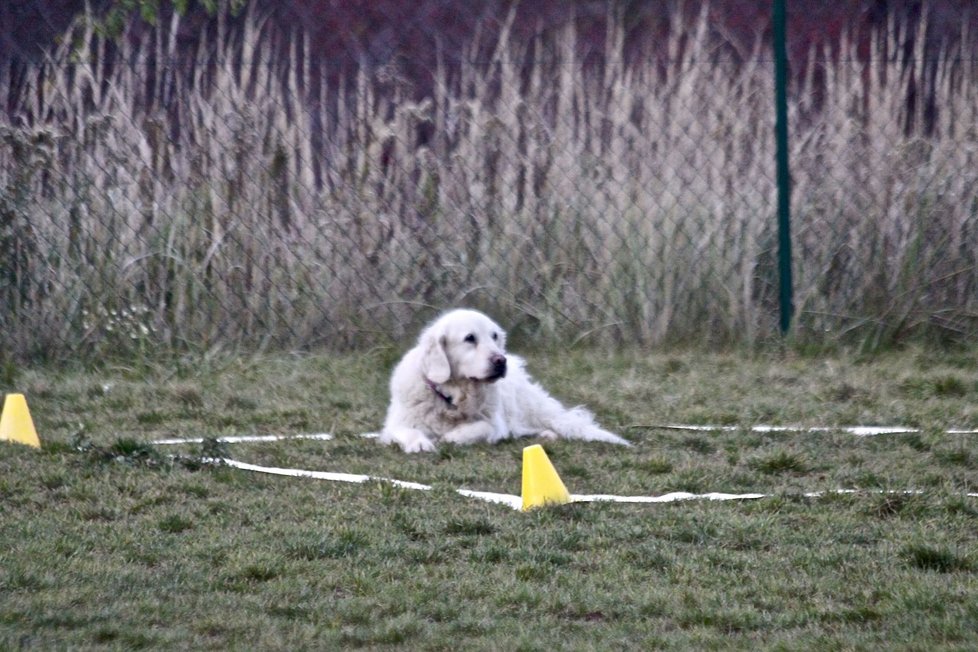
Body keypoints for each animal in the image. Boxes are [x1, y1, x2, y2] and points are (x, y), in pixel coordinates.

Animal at [378, 306, 628, 450]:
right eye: (470, 338)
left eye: (495, 336)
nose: (501, 360)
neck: (453, 398)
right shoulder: (395, 424)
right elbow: (407, 431)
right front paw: (420, 443)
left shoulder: (495, 425)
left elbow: (481, 427)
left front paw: (453, 437)